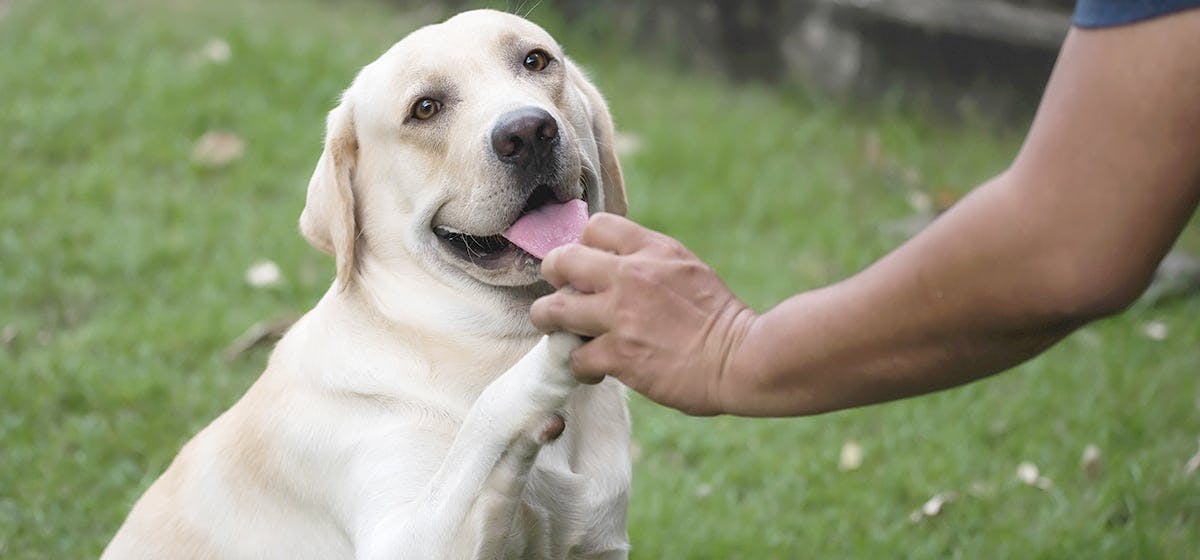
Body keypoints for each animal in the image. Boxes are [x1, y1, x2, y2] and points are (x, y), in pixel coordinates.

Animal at [100, 9, 638, 560]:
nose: (528, 131)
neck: (477, 339)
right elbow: (486, 418)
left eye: (535, 60)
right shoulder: (407, 537)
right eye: (425, 108)